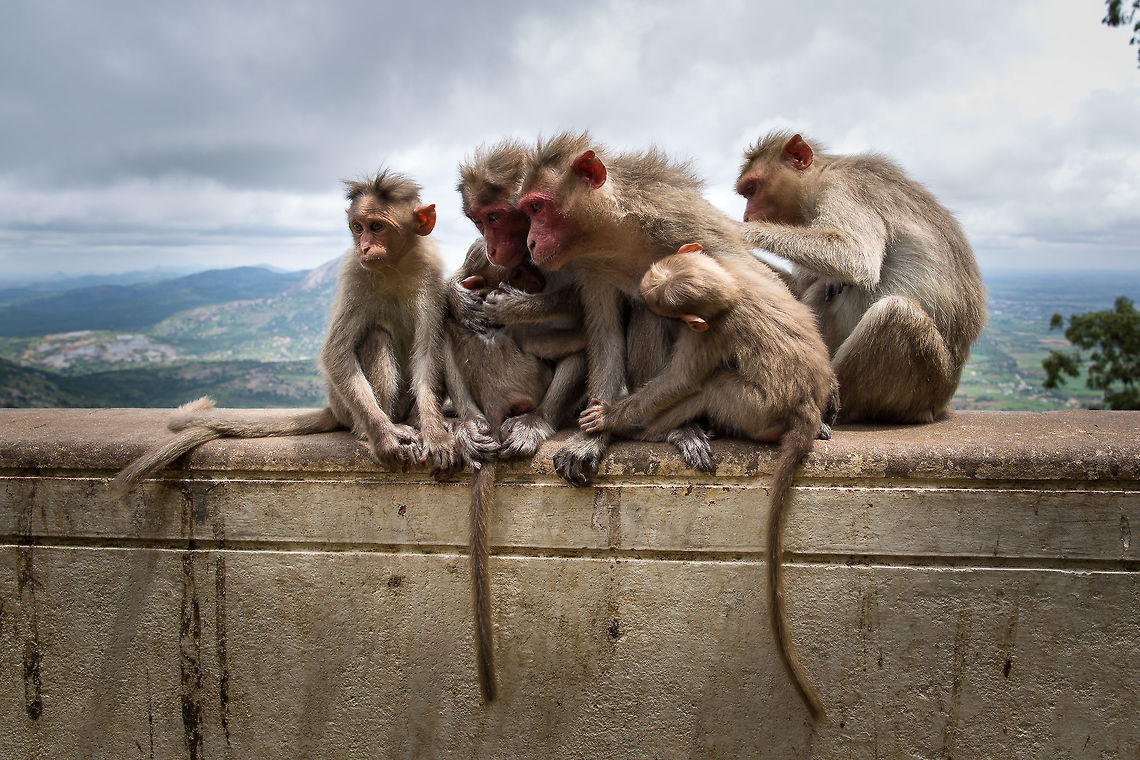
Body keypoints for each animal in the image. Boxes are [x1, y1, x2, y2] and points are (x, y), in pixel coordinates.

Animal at [111, 170, 458, 496]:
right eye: (358, 227)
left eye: (377, 226)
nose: (365, 246)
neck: (393, 266)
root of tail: (335, 409)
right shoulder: (354, 272)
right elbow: (335, 353)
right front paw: (385, 436)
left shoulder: (430, 275)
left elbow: (427, 354)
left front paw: (435, 435)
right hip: (346, 406)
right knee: (375, 337)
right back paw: (377, 429)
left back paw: (417, 421)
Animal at [455, 139, 588, 458]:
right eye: (477, 220)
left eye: (494, 217)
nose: (491, 246)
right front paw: (458, 298)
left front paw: (515, 307)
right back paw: (471, 421)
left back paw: (537, 419)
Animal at [517, 131, 779, 485]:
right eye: (528, 211)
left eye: (536, 207)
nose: (530, 242)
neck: (619, 233)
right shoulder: (591, 265)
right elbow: (606, 335)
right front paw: (590, 438)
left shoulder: (682, 221)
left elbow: (758, 281)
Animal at [577, 247, 832, 720]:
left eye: (656, 301)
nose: (641, 292)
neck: (732, 286)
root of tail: (805, 409)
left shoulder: (709, 333)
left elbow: (682, 380)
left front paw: (609, 418)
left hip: (754, 410)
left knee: (712, 387)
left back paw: (655, 431)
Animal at [736, 132, 987, 424]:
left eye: (752, 190)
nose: (746, 216)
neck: (820, 174)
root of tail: (942, 403)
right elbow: (803, 286)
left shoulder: (843, 187)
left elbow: (856, 257)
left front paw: (740, 230)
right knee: (824, 290)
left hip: (928, 383)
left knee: (896, 312)